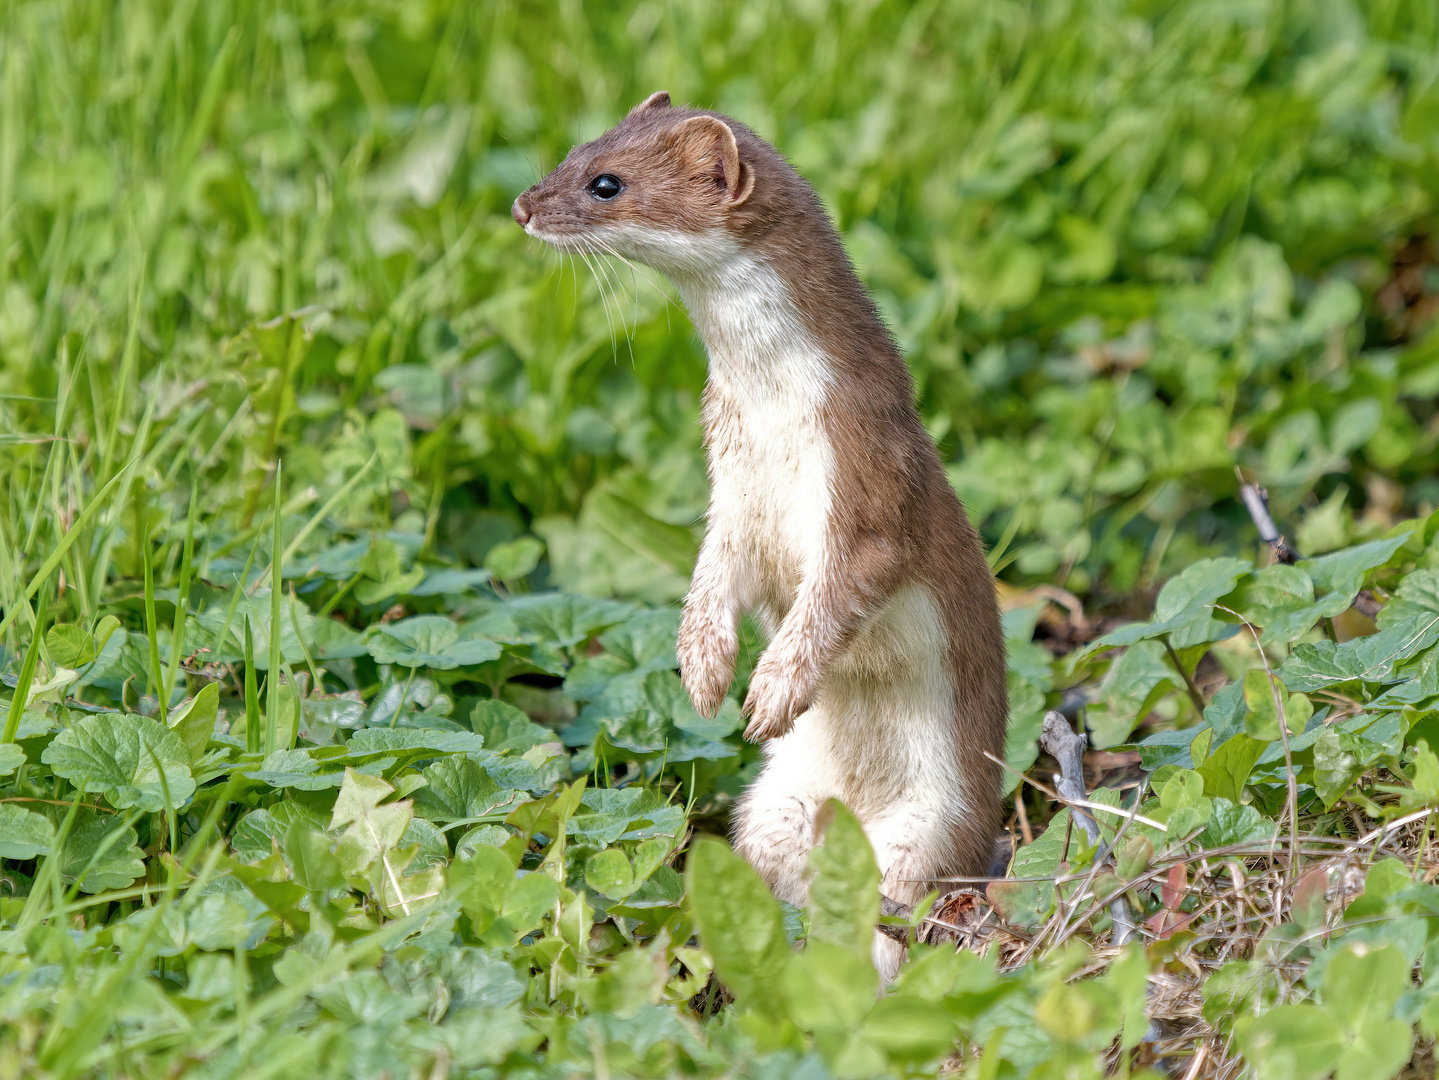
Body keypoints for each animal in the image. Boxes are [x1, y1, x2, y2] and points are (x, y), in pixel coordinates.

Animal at [512, 92, 1007, 977]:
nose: (523, 205)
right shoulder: (730, 489)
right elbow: (713, 574)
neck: (771, 412)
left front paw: (772, 691)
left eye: (606, 182)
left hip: (931, 827)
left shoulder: (863, 480)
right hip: (772, 807)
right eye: (573, 150)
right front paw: (704, 668)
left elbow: (835, 594)